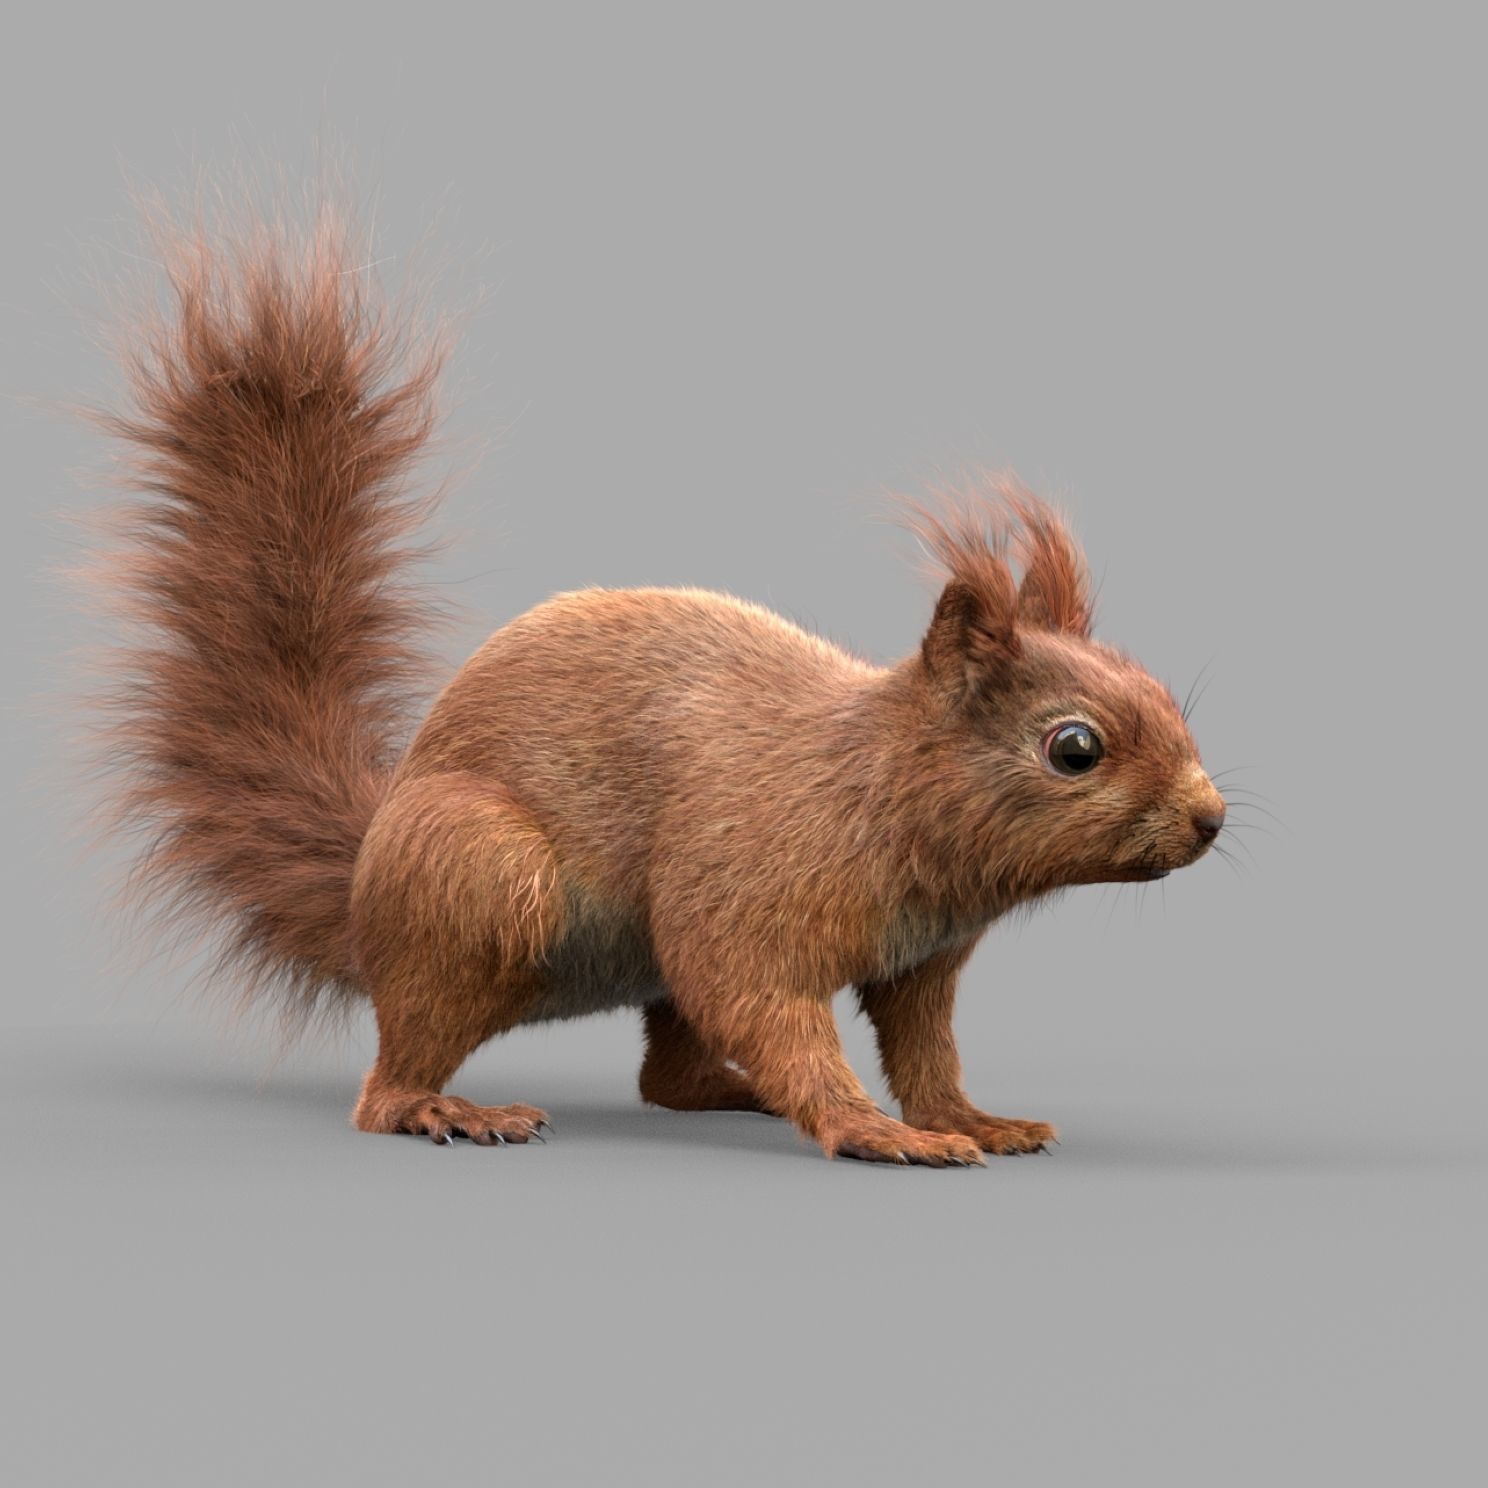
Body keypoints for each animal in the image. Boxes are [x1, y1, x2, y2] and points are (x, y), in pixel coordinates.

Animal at [85, 214, 1226, 1167]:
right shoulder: (749, 891)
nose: (1211, 819)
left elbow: (923, 1047)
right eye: (1073, 747)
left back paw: (731, 1092)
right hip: (478, 877)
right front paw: (872, 1129)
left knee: (667, 1074)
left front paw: (969, 1119)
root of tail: (367, 878)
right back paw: (447, 1107)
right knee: (393, 1073)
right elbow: (765, 1003)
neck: (874, 786)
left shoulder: (923, 960)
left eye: (1169, 698)